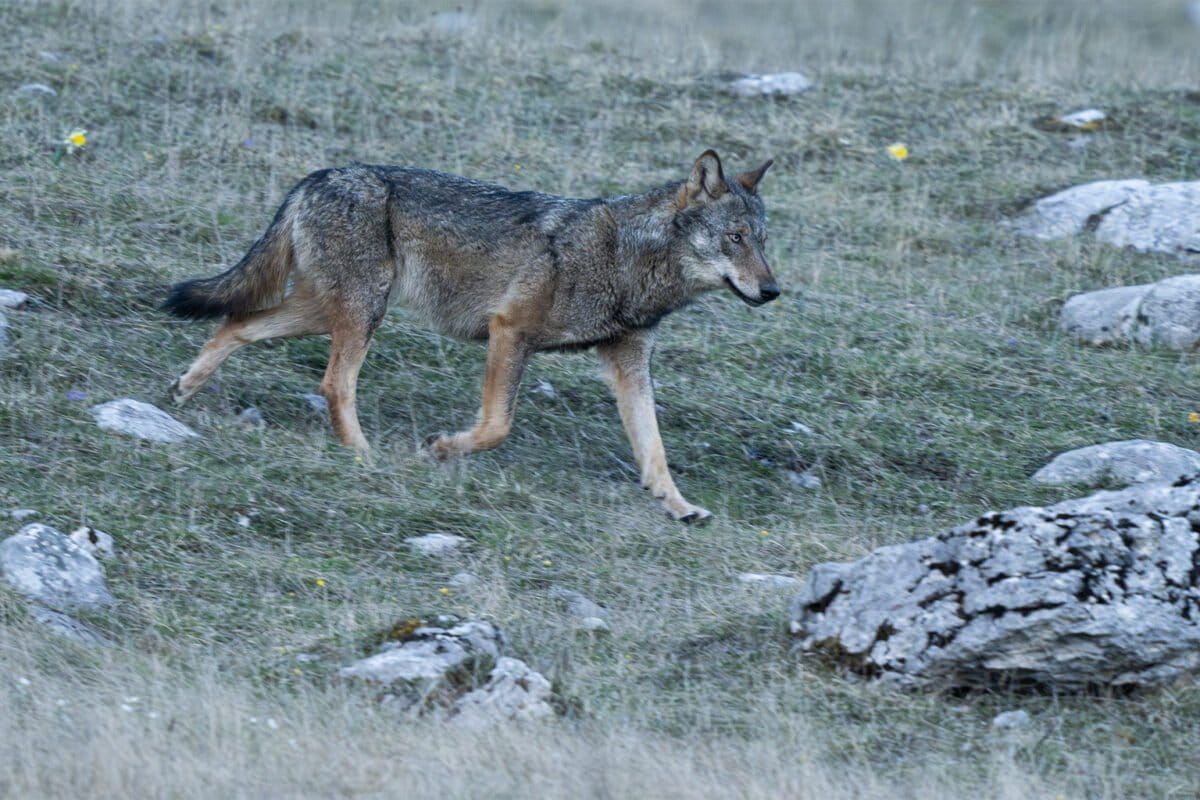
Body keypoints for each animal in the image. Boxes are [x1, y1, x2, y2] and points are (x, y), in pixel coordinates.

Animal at [163, 150, 778, 522]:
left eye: (764, 241)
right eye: (735, 238)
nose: (773, 290)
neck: (629, 262)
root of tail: (318, 175)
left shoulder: (628, 363)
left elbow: (655, 451)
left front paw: (678, 506)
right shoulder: (509, 332)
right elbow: (495, 427)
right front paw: (439, 449)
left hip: (326, 311)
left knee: (236, 324)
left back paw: (183, 391)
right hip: (361, 314)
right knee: (333, 383)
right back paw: (365, 457)